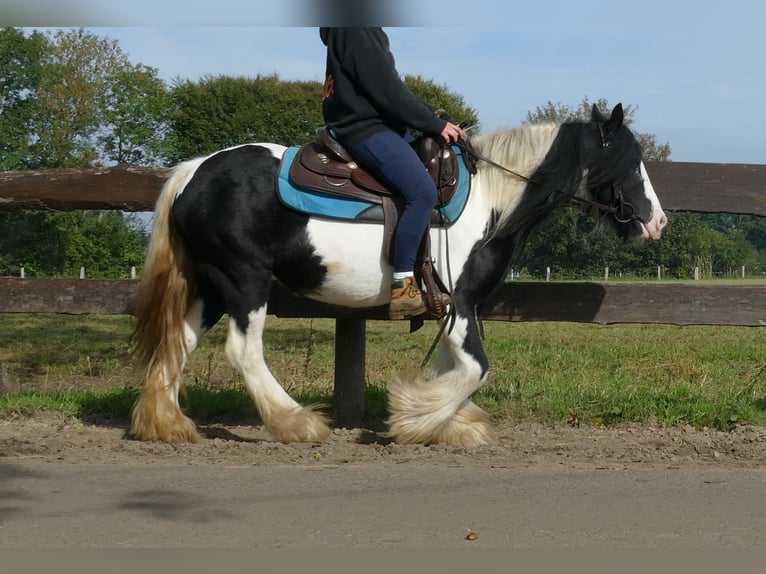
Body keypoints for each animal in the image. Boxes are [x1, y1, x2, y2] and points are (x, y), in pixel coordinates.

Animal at [129, 106, 668, 452]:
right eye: (628, 161)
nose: (657, 221)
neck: (491, 199)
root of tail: (194, 172)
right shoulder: (459, 300)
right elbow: (475, 369)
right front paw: (416, 416)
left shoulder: (455, 308)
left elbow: (456, 366)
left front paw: (449, 425)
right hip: (244, 280)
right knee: (243, 351)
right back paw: (296, 423)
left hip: (211, 285)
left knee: (178, 341)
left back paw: (166, 424)